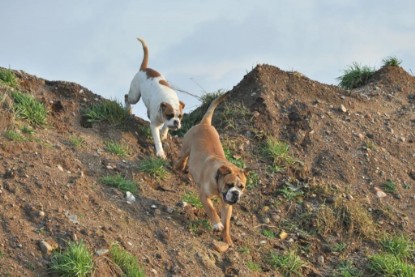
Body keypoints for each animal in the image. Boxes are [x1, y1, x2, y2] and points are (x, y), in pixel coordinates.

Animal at [175, 91, 249, 248]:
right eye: (229, 184)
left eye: (241, 187)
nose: (235, 194)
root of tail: (205, 123)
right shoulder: (204, 196)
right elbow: (211, 210)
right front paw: (216, 224)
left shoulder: (227, 206)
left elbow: (227, 224)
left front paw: (227, 239)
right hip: (185, 148)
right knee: (181, 158)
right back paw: (179, 166)